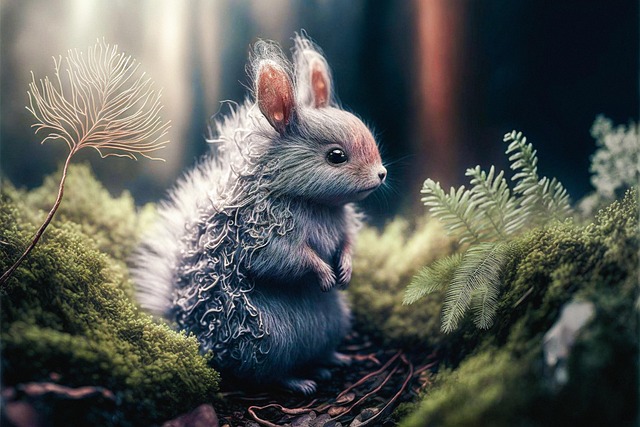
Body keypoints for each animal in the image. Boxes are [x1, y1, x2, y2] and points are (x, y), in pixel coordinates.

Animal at [131, 33, 386, 395]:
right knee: (267, 373)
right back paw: (301, 380)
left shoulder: (343, 226)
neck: (315, 204)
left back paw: (334, 360)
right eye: (336, 156)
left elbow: (348, 244)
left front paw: (346, 269)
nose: (381, 174)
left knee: (317, 351)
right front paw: (324, 274)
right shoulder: (261, 234)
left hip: (335, 320)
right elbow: (284, 260)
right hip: (269, 338)